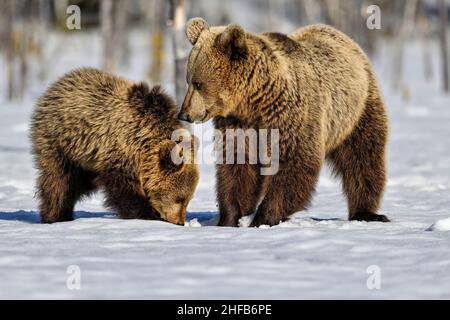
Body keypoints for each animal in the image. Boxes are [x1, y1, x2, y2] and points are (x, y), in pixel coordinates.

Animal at [30, 67, 200, 225]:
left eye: (188, 199)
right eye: (180, 198)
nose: (180, 222)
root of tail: (56, 85)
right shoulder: (120, 151)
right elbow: (125, 191)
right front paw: (147, 214)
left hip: (85, 158)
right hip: (61, 141)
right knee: (59, 179)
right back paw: (55, 215)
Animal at [179, 18, 390, 228]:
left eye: (198, 83)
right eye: (188, 80)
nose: (184, 114)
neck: (252, 102)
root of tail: (342, 36)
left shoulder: (290, 117)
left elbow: (294, 165)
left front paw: (263, 218)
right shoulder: (238, 125)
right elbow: (237, 167)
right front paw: (230, 218)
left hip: (355, 112)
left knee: (362, 157)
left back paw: (367, 212)